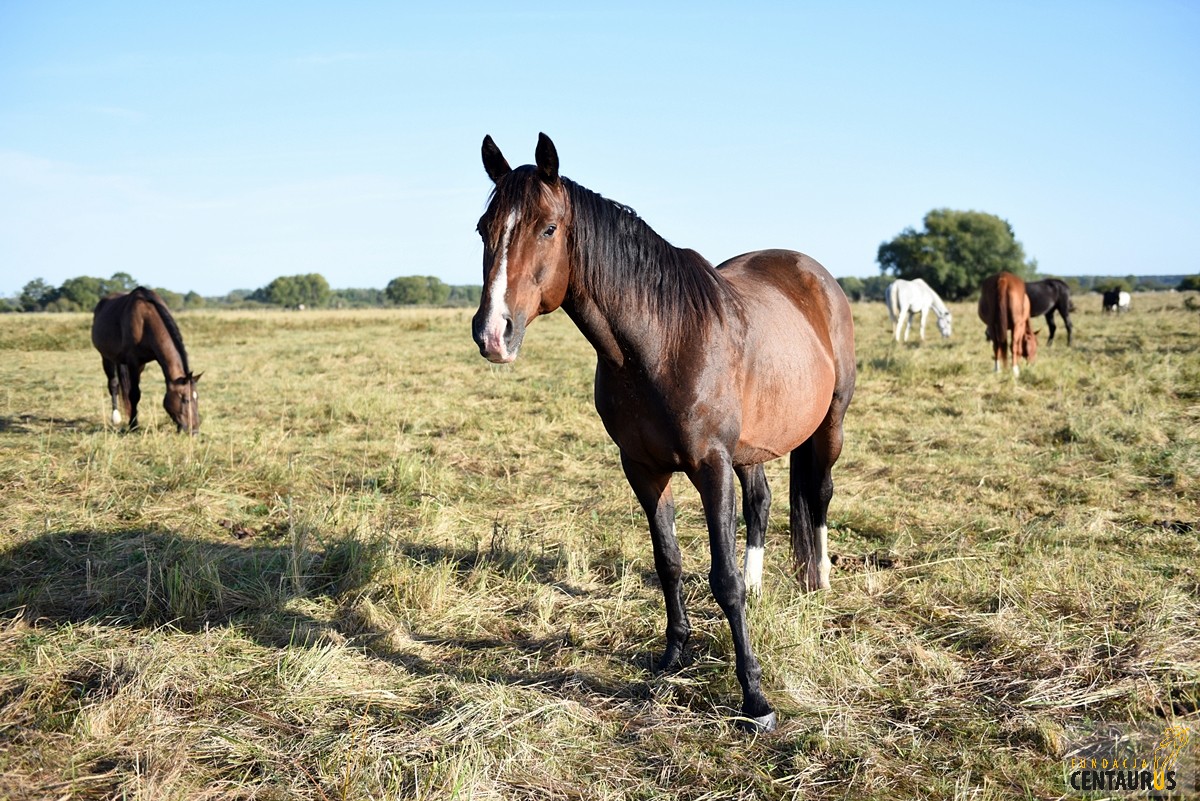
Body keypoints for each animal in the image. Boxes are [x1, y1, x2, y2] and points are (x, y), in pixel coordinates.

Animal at [90, 287, 201, 434]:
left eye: (197, 398)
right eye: (186, 400)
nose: (195, 431)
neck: (145, 321)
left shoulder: (141, 364)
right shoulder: (133, 362)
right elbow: (134, 394)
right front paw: (134, 425)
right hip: (106, 357)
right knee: (113, 384)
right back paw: (116, 418)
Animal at [472, 133, 859, 733]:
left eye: (548, 228)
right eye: (482, 227)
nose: (493, 333)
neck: (662, 341)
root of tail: (813, 273)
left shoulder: (711, 466)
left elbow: (720, 578)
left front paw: (755, 697)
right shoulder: (644, 468)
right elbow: (668, 561)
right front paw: (674, 655)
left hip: (829, 426)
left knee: (817, 494)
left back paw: (818, 582)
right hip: (752, 448)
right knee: (762, 502)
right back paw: (760, 586)